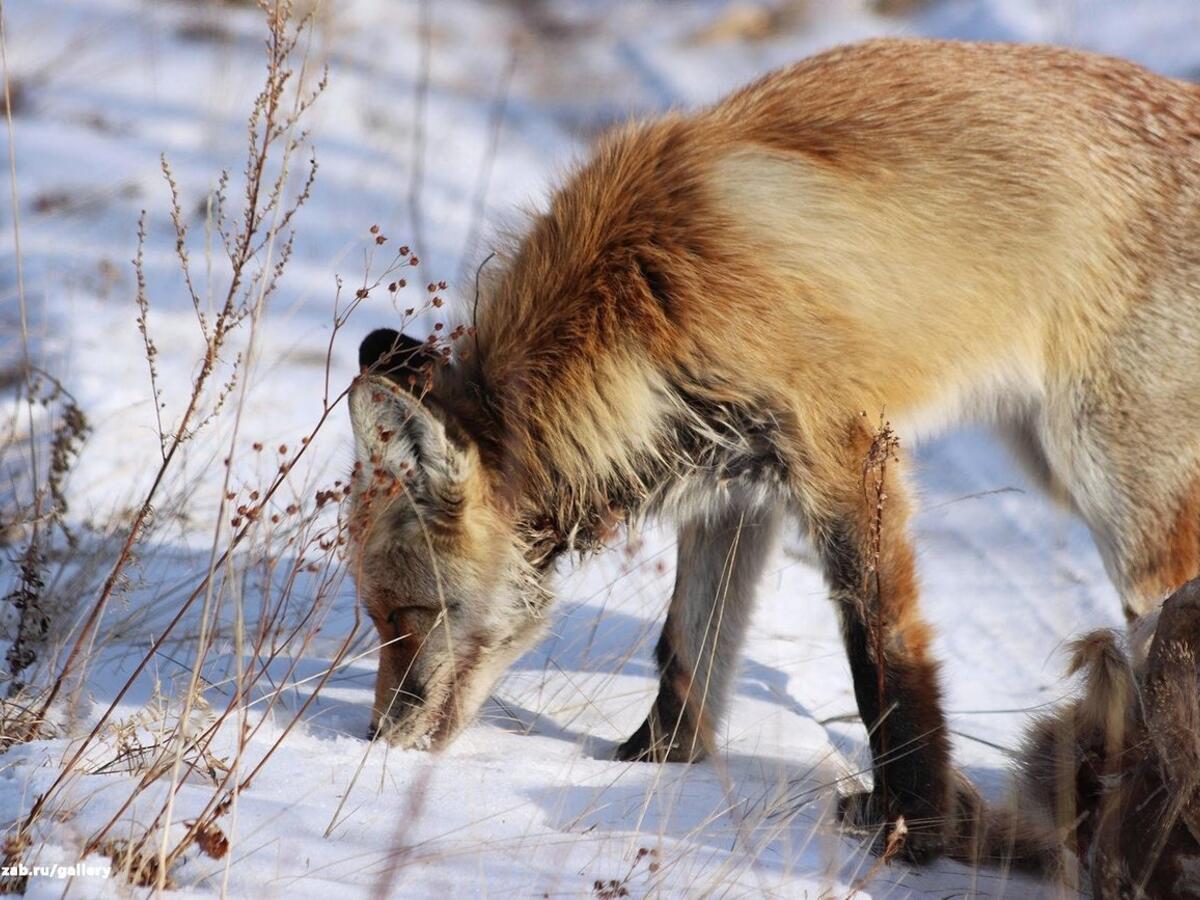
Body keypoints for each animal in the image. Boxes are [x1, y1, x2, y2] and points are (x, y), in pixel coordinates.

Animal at [343, 37, 1200, 868]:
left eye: (408, 614)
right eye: (378, 618)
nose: (377, 740)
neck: (642, 293)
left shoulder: (846, 458)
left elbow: (882, 659)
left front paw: (913, 828)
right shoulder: (732, 486)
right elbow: (686, 651)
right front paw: (655, 767)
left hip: (1118, 499)